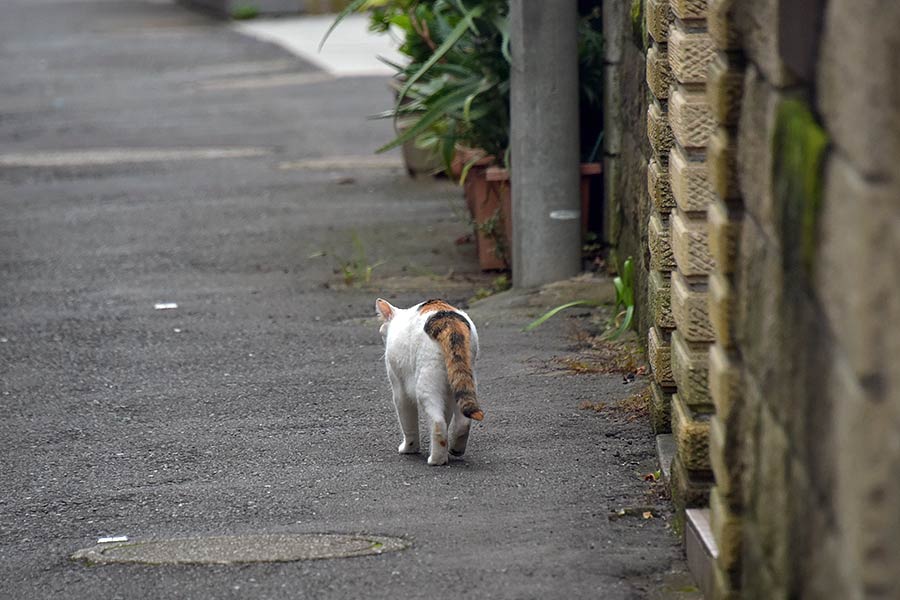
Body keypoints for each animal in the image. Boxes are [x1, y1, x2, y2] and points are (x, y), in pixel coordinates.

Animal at [374, 298, 486, 466]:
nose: (381, 334)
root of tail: (448, 320)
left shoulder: (400, 390)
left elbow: (408, 423)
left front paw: (409, 449)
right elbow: (447, 417)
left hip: (426, 383)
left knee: (438, 423)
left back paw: (436, 459)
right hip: (462, 380)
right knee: (462, 422)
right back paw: (455, 449)